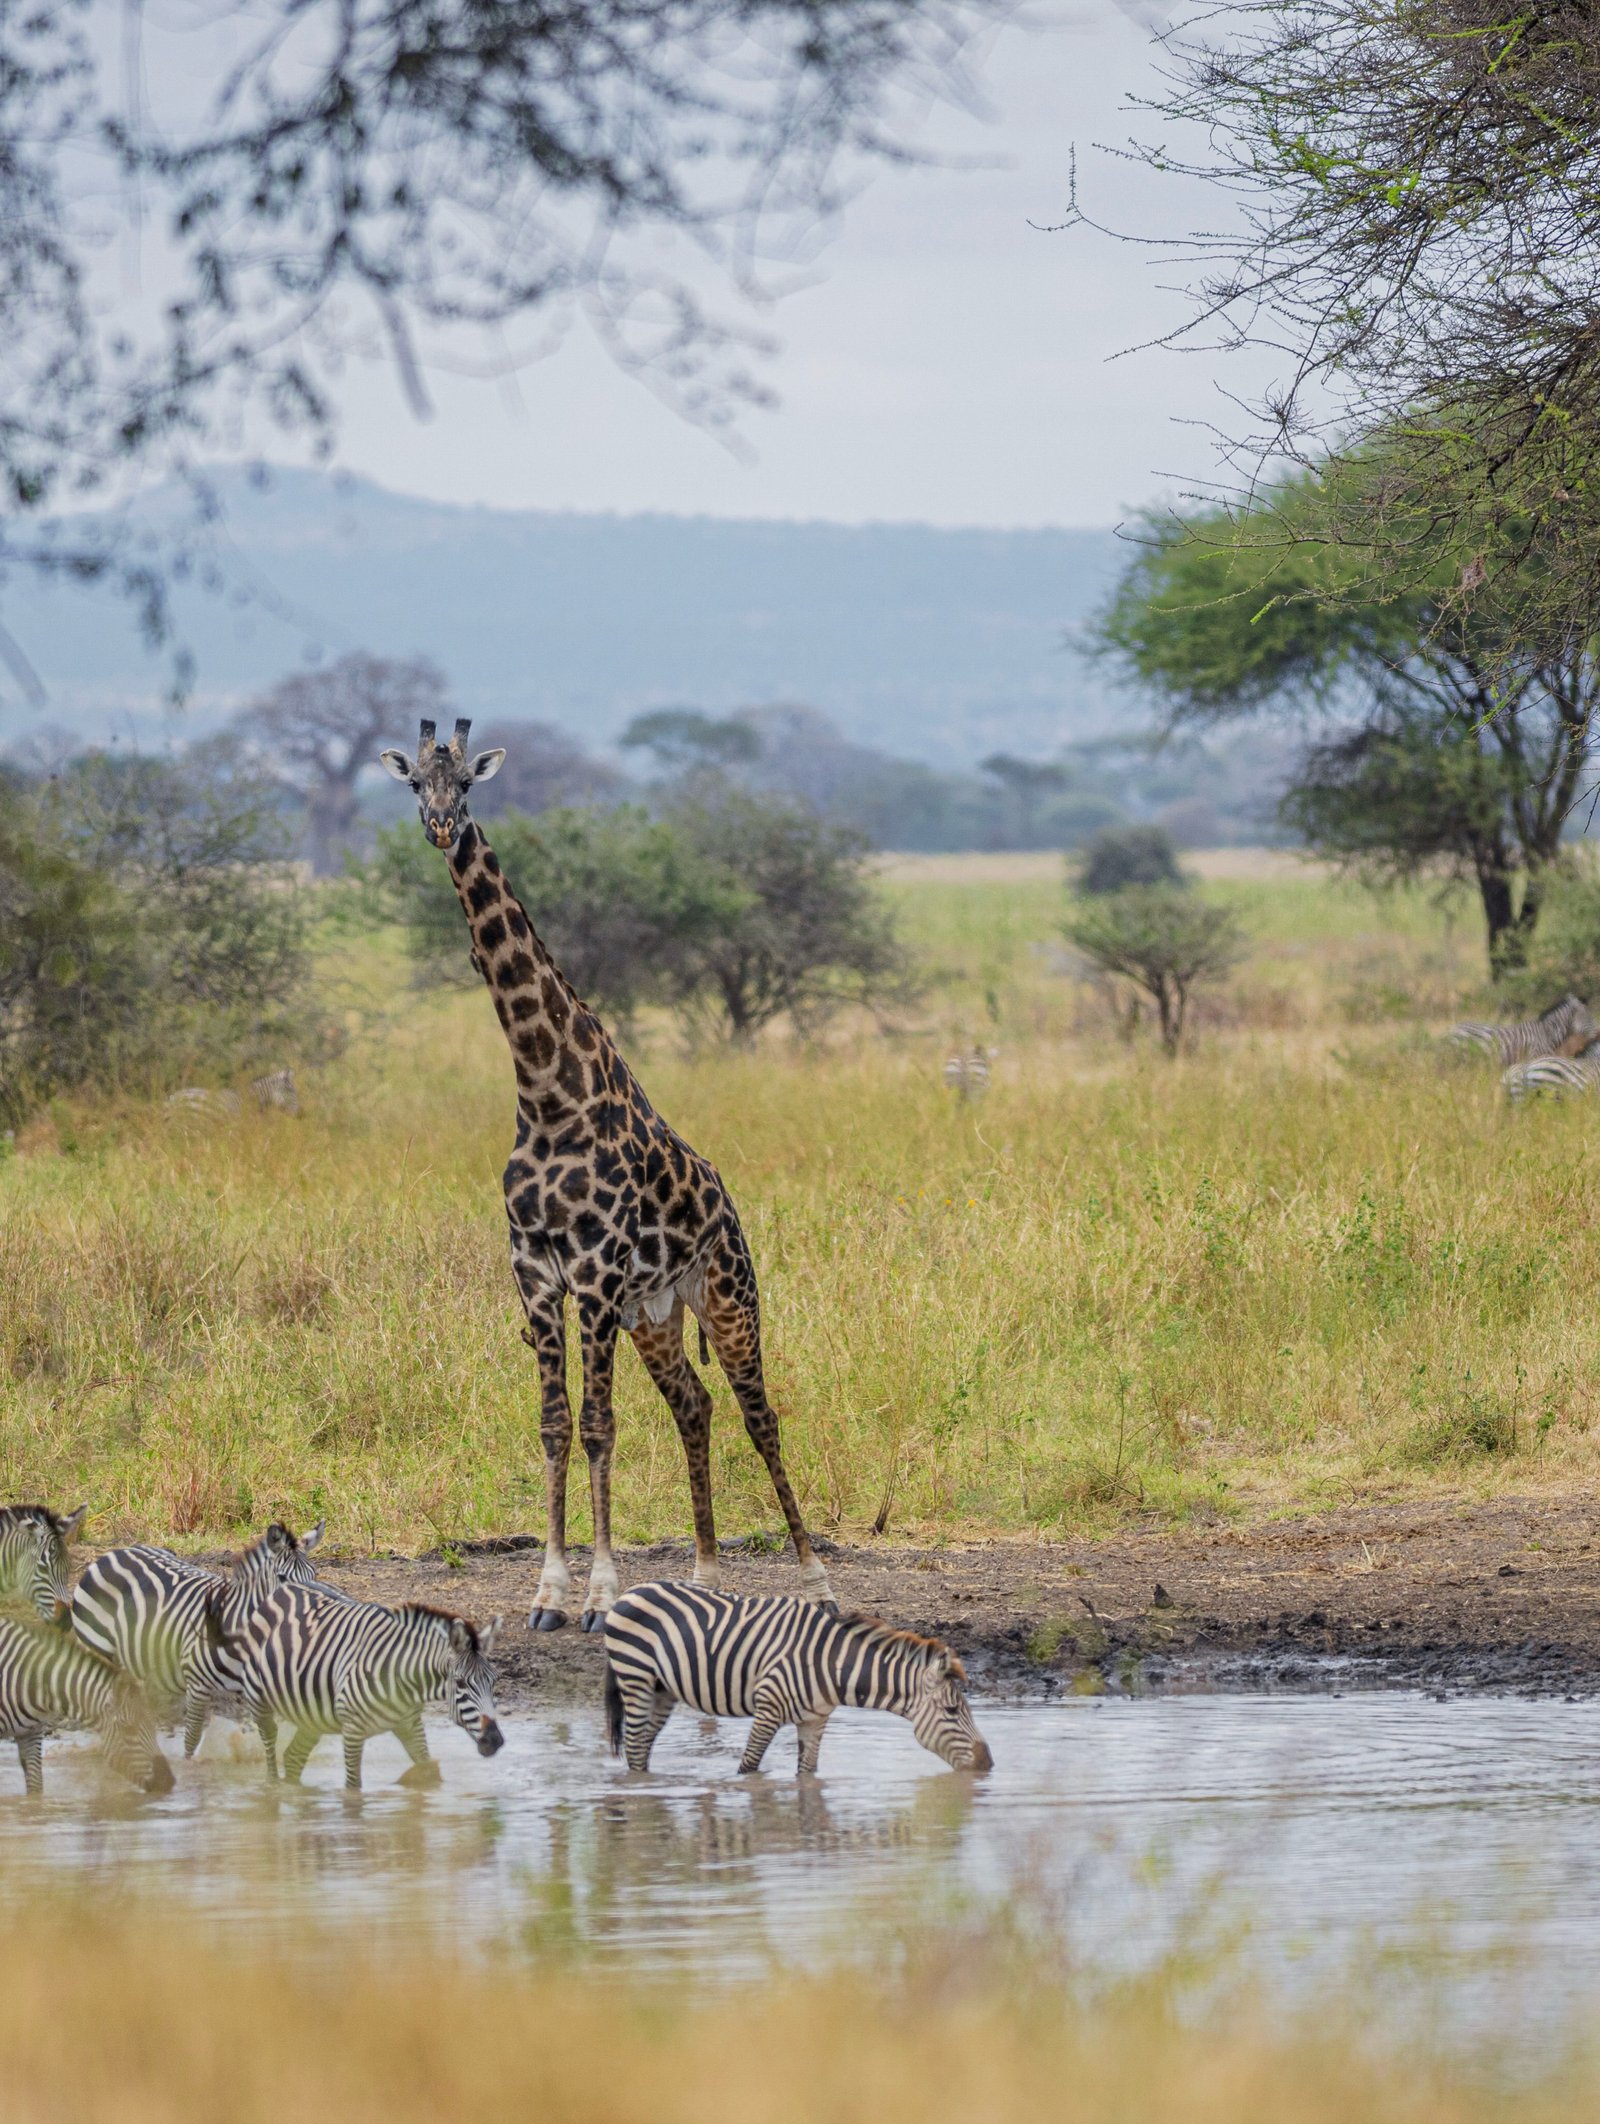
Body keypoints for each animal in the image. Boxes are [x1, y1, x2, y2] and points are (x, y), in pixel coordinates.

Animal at [72, 1519, 329, 1756]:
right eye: (283, 1578)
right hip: (99, 1650)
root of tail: (115, 1552)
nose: (311, 1608)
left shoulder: (252, 1691)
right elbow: (192, 1740)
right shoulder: (197, 1686)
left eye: (313, 1573)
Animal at [232, 1585, 503, 1789]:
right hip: (260, 1702)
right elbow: (353, 1789)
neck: (402, 1674)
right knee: (271, 1756)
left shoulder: (410, 1723)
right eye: (460, 1683)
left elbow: (427, 1772)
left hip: (312, 1716)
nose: (495, 1740)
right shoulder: (352, 1730)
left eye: (494, 1681)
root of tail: (283, 1587)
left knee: (293, 1758)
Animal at [379, 717, 837, 1632]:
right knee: (695, 1404)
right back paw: (702, 1575)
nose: (442, 828)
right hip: (653, 1314)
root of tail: (728, 1201)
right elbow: (555, 1424)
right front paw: (547, 1593)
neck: (547, 1089)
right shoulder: (535, 1272)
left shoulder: (591, 1272)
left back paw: (813, 1579)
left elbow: (597, 1424)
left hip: (729, 1296)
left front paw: (597, 1593)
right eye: (414, 783)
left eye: (468, 785)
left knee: (759, 1413)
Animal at [603, 1582, 994, 1776]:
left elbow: (808, 1774)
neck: (831, 1664)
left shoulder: (815, 1720)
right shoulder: (767, 1708)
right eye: (951, 1711)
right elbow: (748, 1769)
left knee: (643, 1746)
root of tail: (631, 1590)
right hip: (636, 1678)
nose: (988, 1764)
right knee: (634, 1744)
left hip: (662, 1689)